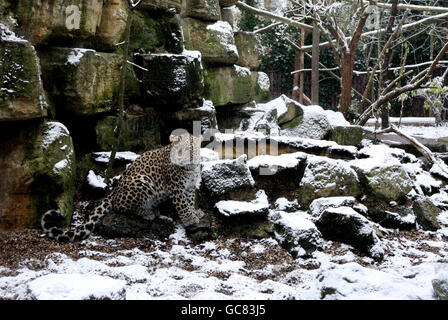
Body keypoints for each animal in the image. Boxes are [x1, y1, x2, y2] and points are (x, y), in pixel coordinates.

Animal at [41, 133, 206, 242]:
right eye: (180, 150)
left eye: (191, 150)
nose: (183, 159)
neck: (190, 168)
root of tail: (114, 192)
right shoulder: (175, 186)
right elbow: (182, 204)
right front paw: (189, 218)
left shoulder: (189, 186)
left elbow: (189, 201)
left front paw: (194, 212)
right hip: (143, 181)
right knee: (121, 207)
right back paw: (147, 212)